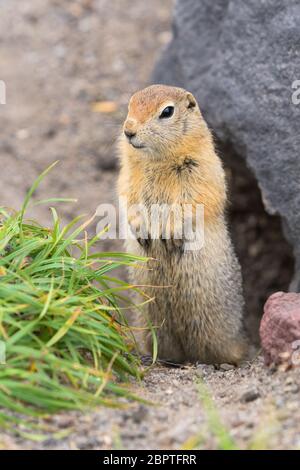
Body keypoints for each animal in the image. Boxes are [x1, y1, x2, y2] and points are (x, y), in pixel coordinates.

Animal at [118, 83, 250, 364]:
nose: (128, 130)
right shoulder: (127, 174)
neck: (156, 159)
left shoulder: (201, 167)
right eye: (130, 104)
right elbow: (127, 196)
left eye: (167, 111)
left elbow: (195, 199)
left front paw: (170, 233)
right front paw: (141, 230)